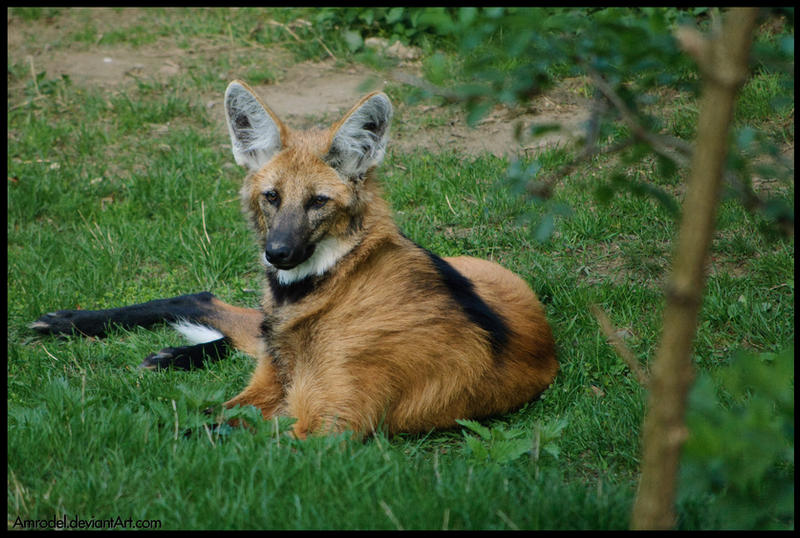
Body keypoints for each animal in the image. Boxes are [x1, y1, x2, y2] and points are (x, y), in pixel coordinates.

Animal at [29, 79, 556, 438]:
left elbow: (197, 433)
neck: (329, 285)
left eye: (318, 202)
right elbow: (203, 418)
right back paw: (76, 326)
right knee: (210, 302)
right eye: (272, 197)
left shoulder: (323, 428)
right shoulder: (269, 392)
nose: (277, 253)